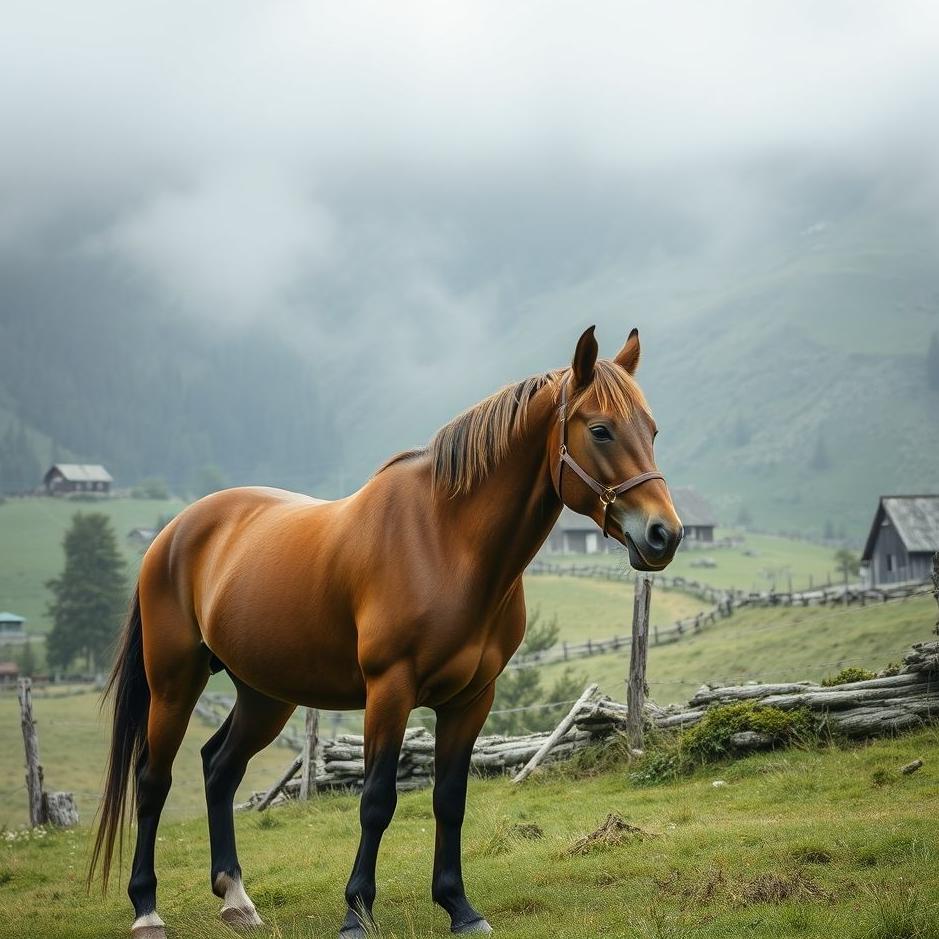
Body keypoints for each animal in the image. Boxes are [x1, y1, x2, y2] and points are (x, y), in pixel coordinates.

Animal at [90, 325, 683, 939]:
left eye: (652, 430)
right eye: (600, 429)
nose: (664, 534)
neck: (445, 543)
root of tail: (174, 532)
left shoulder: (472, 698)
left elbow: (449, 799)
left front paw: (459, 907)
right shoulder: (389, 689)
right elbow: (376, 798)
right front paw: (356, 912)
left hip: (264, 694)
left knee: (219, 769)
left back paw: (236, 899)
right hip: (174, 684)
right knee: (153, 779)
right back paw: (146, 908)